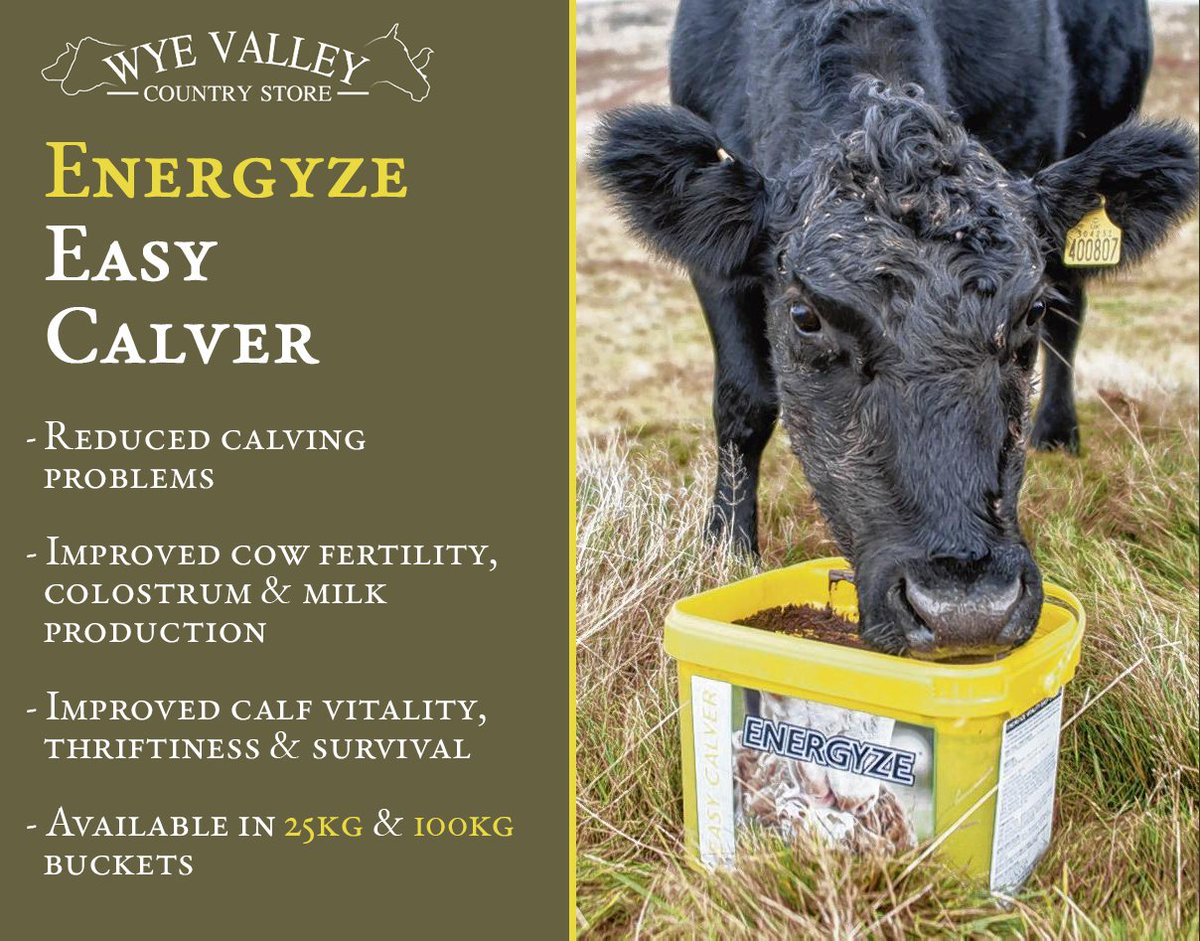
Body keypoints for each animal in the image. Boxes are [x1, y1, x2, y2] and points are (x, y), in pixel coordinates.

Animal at [592, 0, 1198, 656]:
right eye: (805, 317)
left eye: (1028, 310)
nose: (967, 611)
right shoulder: (716, 269)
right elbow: (743, 402)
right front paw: (727, 549)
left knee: (1074, 314)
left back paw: (1057, 434)